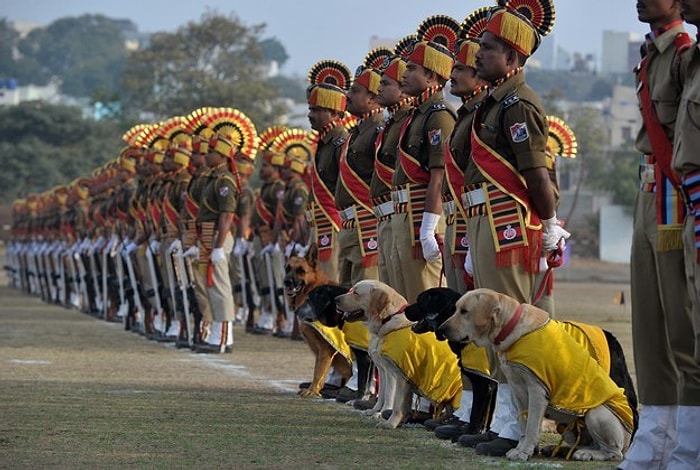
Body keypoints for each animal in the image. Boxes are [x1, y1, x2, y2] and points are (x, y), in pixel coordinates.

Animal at [282, 244, 352, 398]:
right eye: (287, 268)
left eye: (301, 271)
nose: (286, 282)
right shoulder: (320, 350)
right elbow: (317, 369)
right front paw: (315, 389)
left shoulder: (326, 348)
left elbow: (319, 371)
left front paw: (313, 390)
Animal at [334, 280, 462, 430]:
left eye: (356, 293)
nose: (335, 299)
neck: (388, 319)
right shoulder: (384, 370)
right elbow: (385, 396)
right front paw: (378, 413)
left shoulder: (398, 375)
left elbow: (394, 401)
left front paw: (388, 421)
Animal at [440, 288, 636, 460]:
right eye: (455, 309)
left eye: (464, 311)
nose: (441, 328)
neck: (511, 329)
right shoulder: (517, 390)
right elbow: (523, 426)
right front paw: (521, 449)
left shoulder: (536, 390)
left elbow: (532, 426)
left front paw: (524, 452)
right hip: (568, 428)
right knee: (588, 444)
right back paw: (563, 450)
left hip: (597, 413)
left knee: (613, 452)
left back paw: (586, 454)